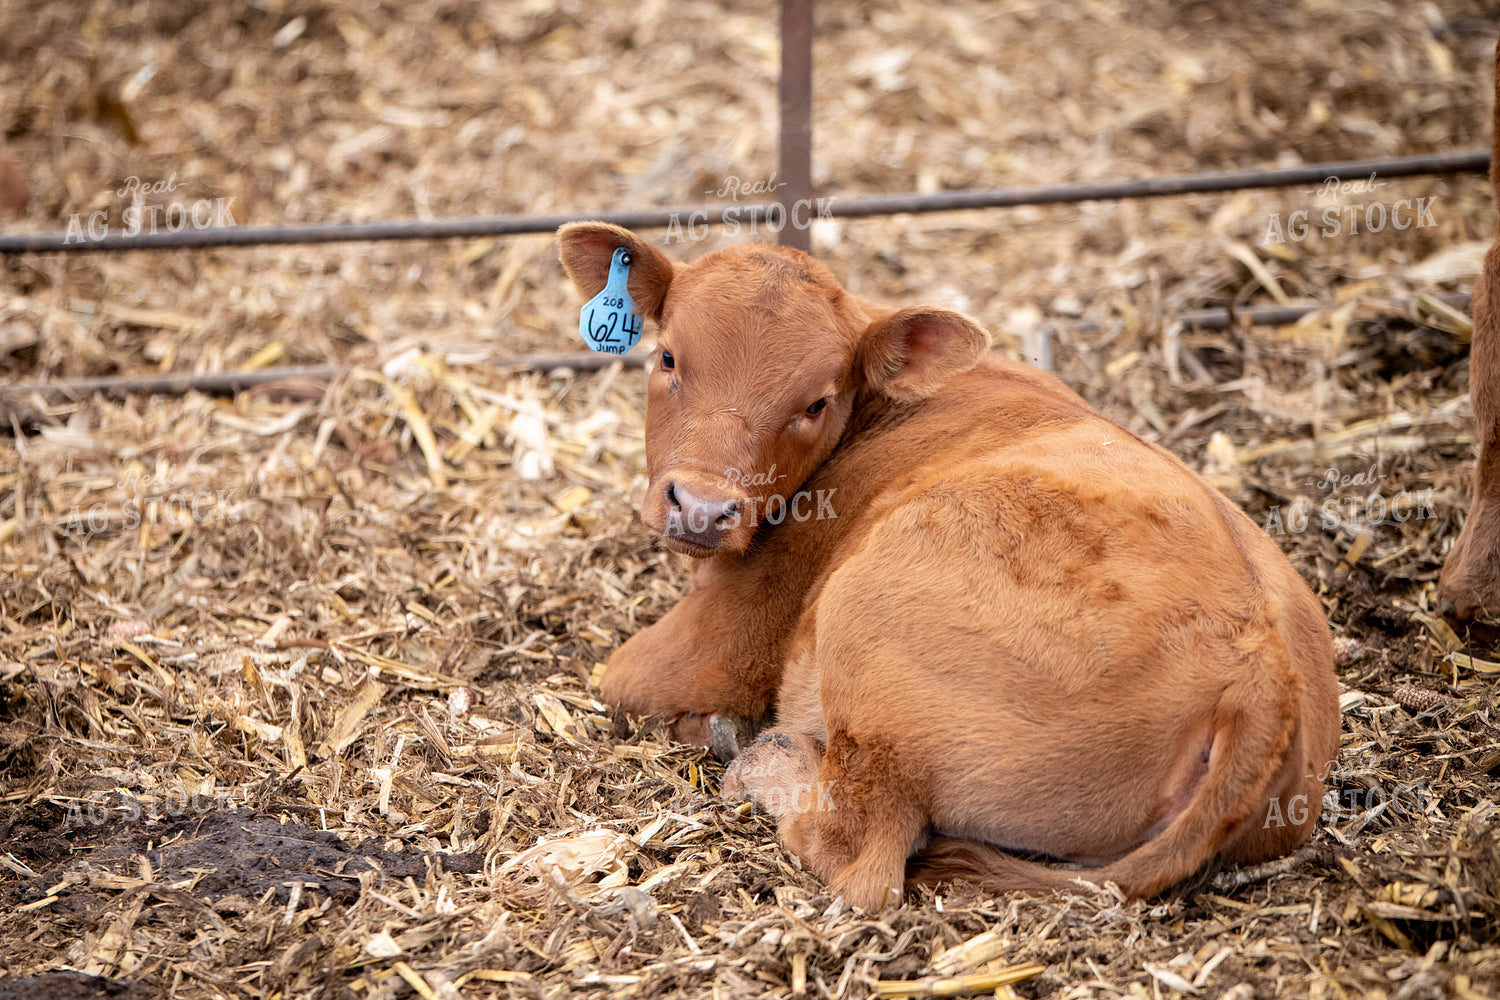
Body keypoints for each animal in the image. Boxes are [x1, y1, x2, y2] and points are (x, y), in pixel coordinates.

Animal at [559, 221, 1341, 910]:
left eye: (816, 402)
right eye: (667, 358)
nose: (700, 509)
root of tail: (1261, 666)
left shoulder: (724, 638)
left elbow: (621, 679)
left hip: (869, 625)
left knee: (861, 853)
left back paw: (763, 754)